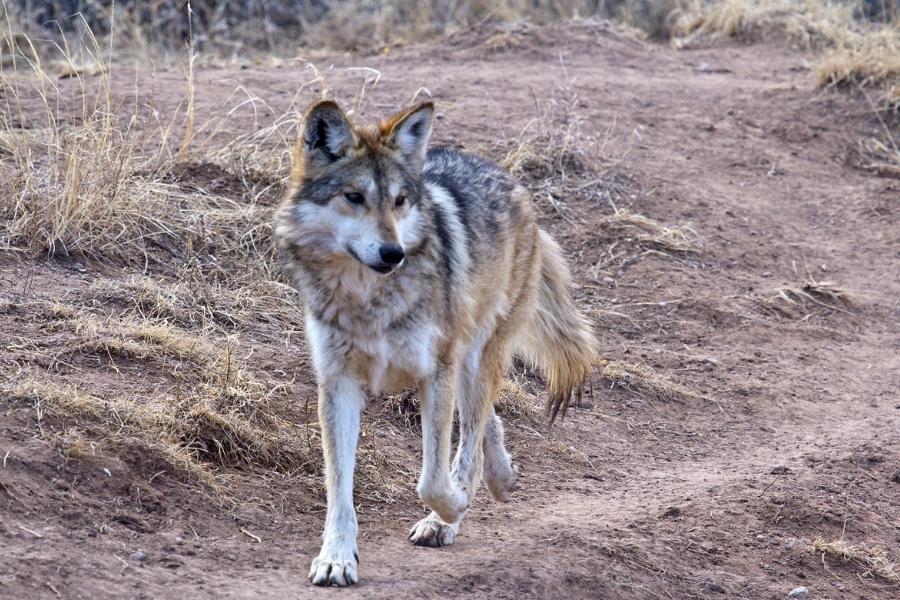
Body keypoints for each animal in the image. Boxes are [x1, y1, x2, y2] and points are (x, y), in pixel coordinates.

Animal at [275, 99, 596, 587]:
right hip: (465, 363)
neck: (369, 299)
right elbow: (339, 488)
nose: (393, 253)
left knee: (472, 434)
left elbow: (432, 480)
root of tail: (508, 179)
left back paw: (454, 512)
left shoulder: (435, 372)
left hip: (476, 356)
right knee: (484, 423)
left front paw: (453, 508)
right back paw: (502, 477)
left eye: (400, 201)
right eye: (354, 197)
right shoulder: (338, 382)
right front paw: (336, 557)